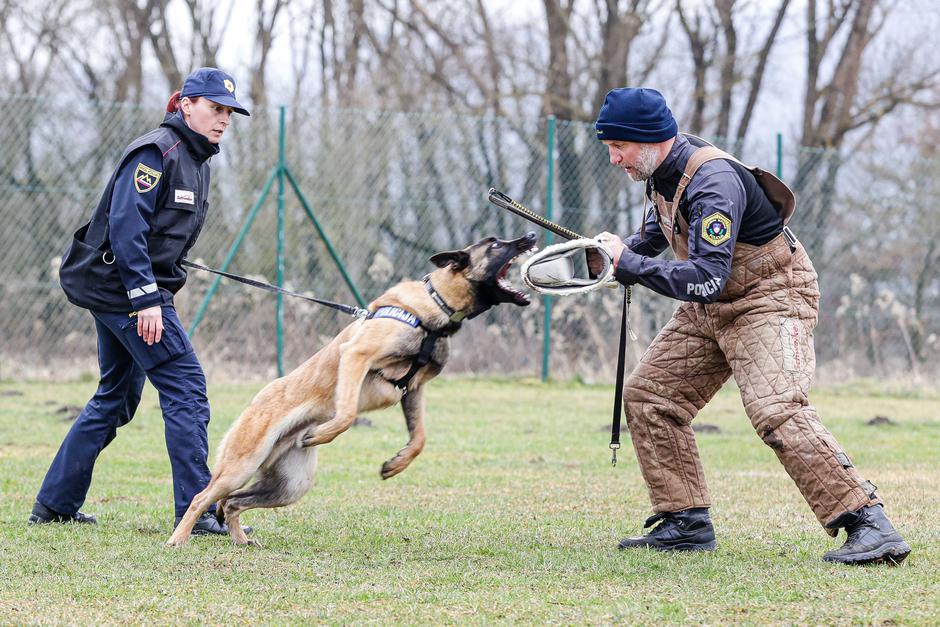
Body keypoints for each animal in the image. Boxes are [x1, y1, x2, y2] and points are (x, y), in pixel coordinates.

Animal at [166, 233, 536, 548]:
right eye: (495, 244)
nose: (531, 236)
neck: (436, 305)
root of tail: (256, 401)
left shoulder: (413, 390)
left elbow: (419, 438)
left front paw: (396, 464)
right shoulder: (356, 356)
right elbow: (345, 414)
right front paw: (322, 434)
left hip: (290, 486)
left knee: (231, 502)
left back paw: (240, 539)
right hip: (243, 464)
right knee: (202, 497)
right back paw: (179, 538)